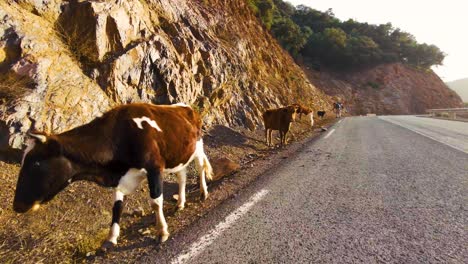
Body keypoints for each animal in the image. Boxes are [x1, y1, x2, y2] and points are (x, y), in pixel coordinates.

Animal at [12, 103, 214, 250]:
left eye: (36, 164)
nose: (17, 205)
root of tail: (185, 107)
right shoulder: (120, 179)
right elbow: (117, 208)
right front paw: (111, 238)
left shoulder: (154, 168)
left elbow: (156, 202)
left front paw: (162, 232)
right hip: (179, 156)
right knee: (182, 176)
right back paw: (180, 203)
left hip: (198, 146)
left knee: (200, 167)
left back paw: (203, 193)